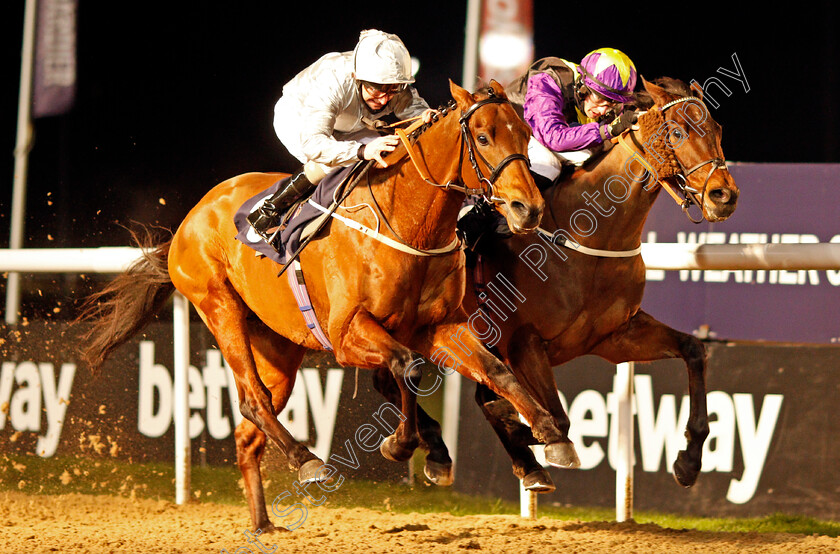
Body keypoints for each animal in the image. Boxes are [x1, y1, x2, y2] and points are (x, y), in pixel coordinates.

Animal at [75, 78, 580, 532]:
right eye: (482, 137)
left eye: (525, 135)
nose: (528, 209)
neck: (408, 224)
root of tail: (187, 221)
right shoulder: (347, 334)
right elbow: (409, 368)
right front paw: (403, 446)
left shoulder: (441, 327)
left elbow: (495, 371)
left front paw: (549, 433)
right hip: (219, 307)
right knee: (253, 401)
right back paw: (308, 461)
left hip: (278, 347)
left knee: (248, 431)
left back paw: (263, 523)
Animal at [384, 76, 740, 492]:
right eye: (679, 131)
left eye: (718, 130)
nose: (724, 195)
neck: (590, 235)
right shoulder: (523, 342)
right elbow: (555, 418)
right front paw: (531, 432)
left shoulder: (613, 336)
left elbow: (693, 349)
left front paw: (689, 459)